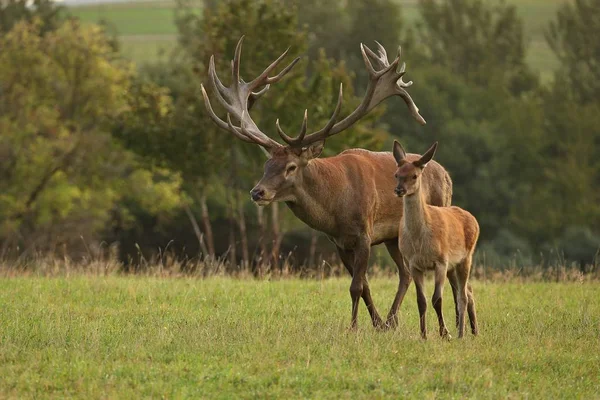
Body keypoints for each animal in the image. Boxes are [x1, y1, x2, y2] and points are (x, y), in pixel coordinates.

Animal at [394, 141, 478, 338]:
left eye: (414, 175)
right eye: (396, 174)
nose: (399, 190)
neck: (419, 241)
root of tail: (473, 219)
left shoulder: (440, 261)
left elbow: (437, 299)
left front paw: (444, 333)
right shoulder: (413, 264)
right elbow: (421, 301)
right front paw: (423, 335)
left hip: (466, 258)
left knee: (463, 295)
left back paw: (461, 334)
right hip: (453, 266)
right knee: (468, 291)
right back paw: (471, 331)